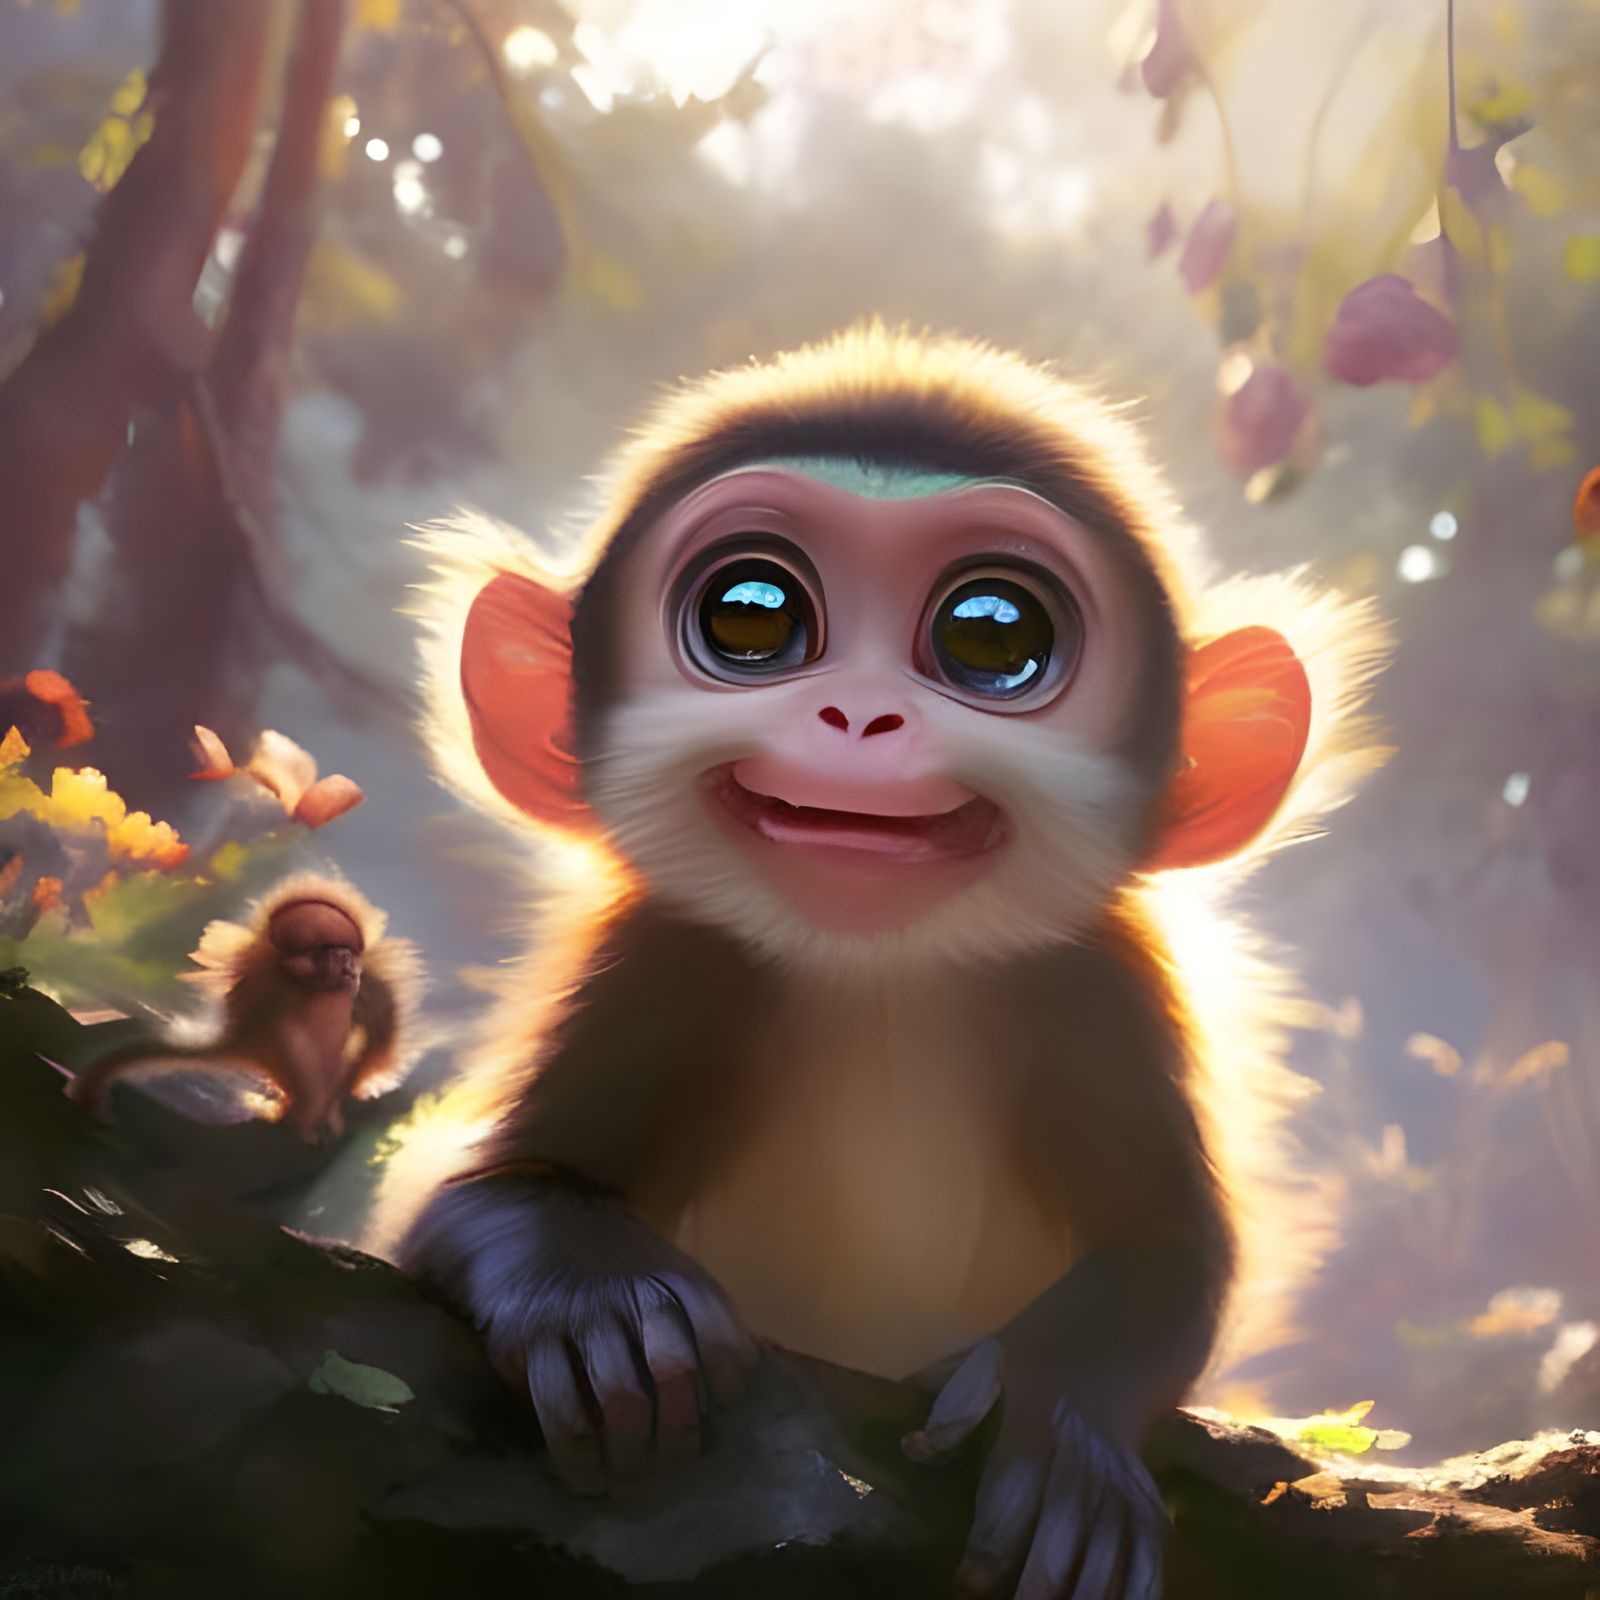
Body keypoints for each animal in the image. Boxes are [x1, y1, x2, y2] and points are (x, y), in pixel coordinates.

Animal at [69, 874, 422, 1143]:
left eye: (347, 954)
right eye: (333, 955)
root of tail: (243, 1044)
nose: (348, 964)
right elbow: (293, 1035)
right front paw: (312, 1120)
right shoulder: (280, 992)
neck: (315, 987)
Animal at [393, 324, 1387, 1599]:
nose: (858, 714)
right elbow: (476, 1194)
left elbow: (1168, 1250)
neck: (879, 973)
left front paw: (1059, 1426)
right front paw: (597, 1302)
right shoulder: (662, 954)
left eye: (992, 633)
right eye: (751, 613)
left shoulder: (1100, 988)